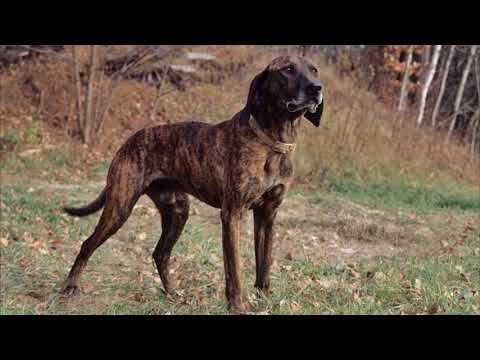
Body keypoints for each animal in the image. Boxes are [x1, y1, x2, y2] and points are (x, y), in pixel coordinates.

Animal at [60, 54, 322, 312]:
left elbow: (264, 263)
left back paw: (172, 293)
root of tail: (129, 141)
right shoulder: (232, 214)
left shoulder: (267, 215)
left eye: (314, 70)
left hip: (177, 211)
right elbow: (234, 270)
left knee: (160, 254)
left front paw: (265, 299)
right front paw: (237, 306)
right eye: (287, 69)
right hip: (119, 208)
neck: (272, 143)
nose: (316, 88)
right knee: (87, 244)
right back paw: (70, 286)